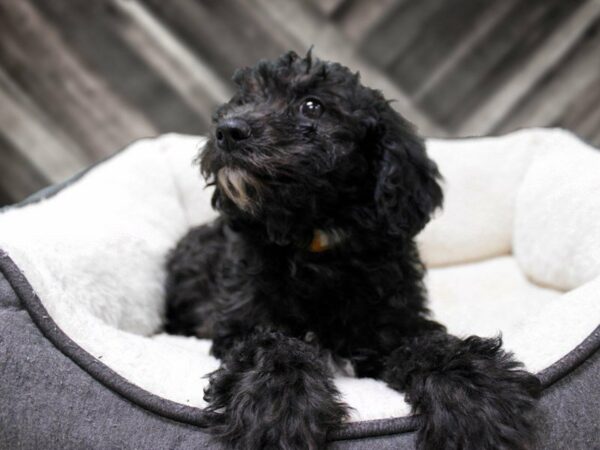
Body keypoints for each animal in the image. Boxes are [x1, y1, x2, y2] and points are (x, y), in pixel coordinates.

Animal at [164, 51, 540, 450]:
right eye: (242, 99)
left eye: (312, 106)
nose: (228, 130)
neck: (316, 241)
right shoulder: (241, 321)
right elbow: (270, 345)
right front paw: (278, 407)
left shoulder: (392, 322)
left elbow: (429, 344)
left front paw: (476, 395)